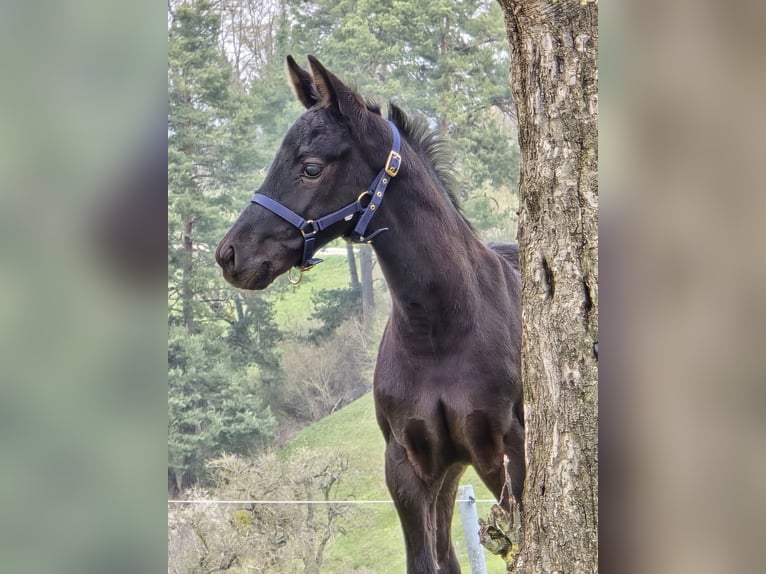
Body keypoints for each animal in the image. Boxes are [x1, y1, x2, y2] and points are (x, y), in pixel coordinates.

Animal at [215, 55, 524, 574]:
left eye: (311, 167)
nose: (230, 255)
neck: (439, 330)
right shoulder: (408, 467)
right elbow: (426, 561)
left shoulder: (510, 454)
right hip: (447, 475)